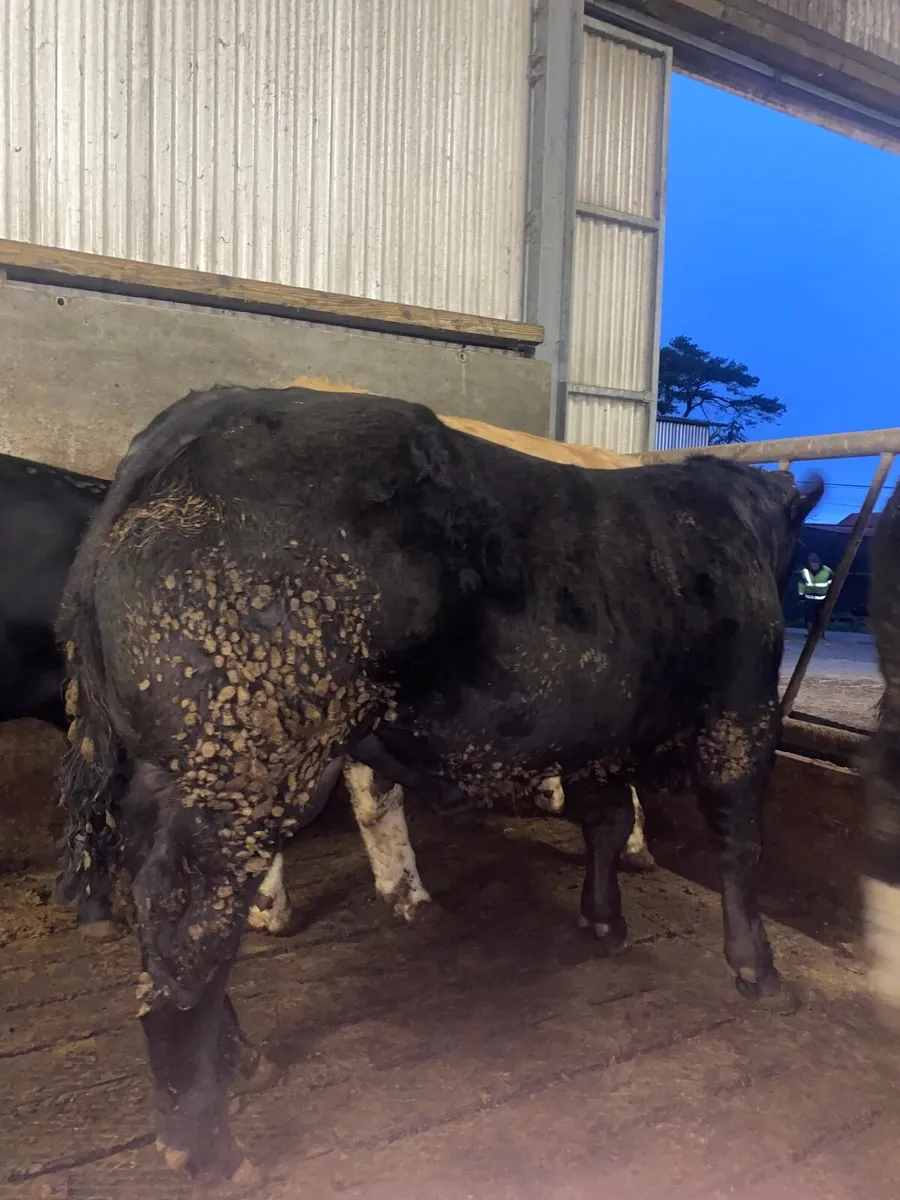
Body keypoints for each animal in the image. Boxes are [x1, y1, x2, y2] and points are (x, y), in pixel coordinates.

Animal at [56, 385, 822, 1180]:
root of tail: (193, 419)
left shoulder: (599, 734)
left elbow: (607, 822)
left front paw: (604, 920)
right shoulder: (742, 714)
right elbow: (739, 848)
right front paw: (758, 970)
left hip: (170, 768)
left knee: (159, 899)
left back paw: (241, 1060)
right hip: (244, 760)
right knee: (187, 919)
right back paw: (206, 1146)